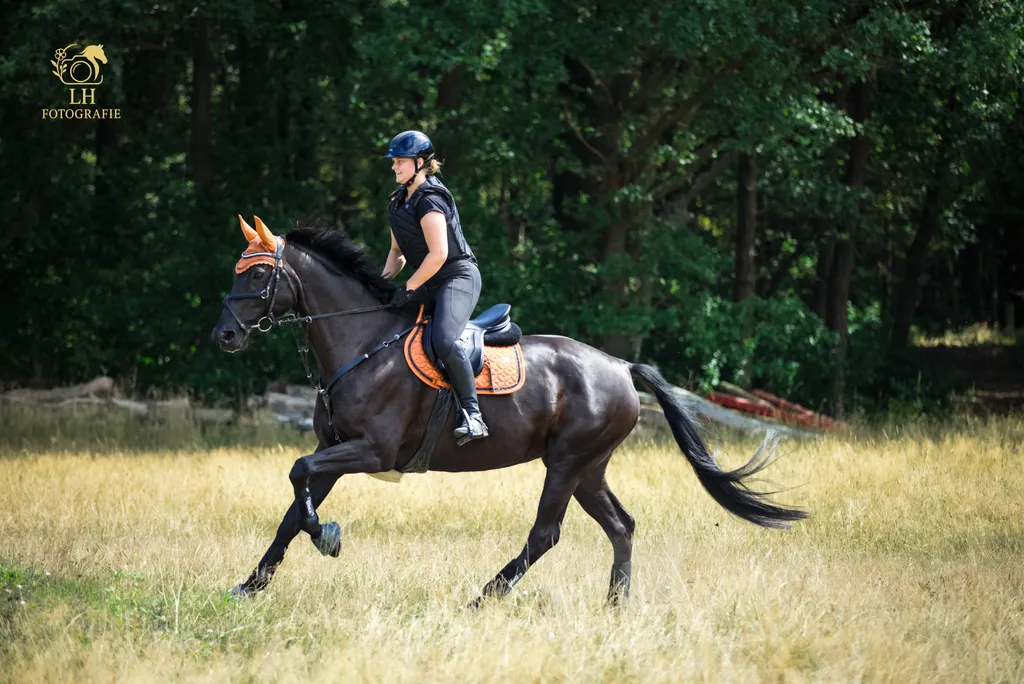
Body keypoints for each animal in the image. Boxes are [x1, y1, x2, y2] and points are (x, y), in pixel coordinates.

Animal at [211, 216, 807, 605]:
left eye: (257, 276)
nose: (224, 335)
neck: (362, 343)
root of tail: (620, 365)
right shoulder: (333, 448)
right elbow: (294, 505)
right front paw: (251, 584)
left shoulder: (372, 452)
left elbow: (299, 479)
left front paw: (327, 537)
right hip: (589, 467)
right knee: (621, 526)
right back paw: (614, 606)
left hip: (566, 463)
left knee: (546, 534)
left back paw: (485, 596)